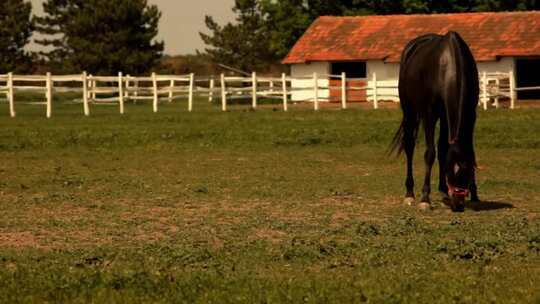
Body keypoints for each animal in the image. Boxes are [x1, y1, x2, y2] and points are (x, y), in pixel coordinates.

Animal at [390, 31, 478, 211]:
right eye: (451, 172)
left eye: (465, 173)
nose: (458, 204)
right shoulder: (429, 114)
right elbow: (430, 153)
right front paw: (425, 198)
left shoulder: (467, 115)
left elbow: (454, 150)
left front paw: (474, 195)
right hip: (409, 111)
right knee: (409, 145)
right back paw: (410, 194)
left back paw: (443, 191)